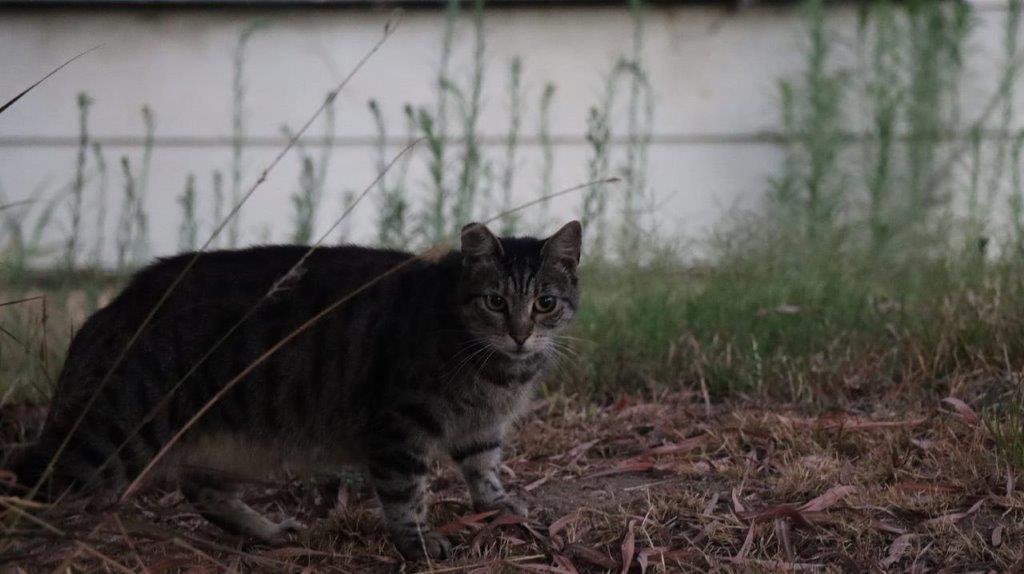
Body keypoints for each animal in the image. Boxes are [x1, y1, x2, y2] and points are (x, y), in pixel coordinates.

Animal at [6, 219, 585, 560]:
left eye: (545, 303)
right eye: (495, 301)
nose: (520, 333)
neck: (496, 371)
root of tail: (112, 308)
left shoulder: (481, 428)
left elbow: (485, 469)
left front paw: (500, 505)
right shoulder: (400, 427)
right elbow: (406, 495)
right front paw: (418, 543)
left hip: (237, 446)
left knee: (202, 492)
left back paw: (267, 533)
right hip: (109, 442)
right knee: (27, 478)